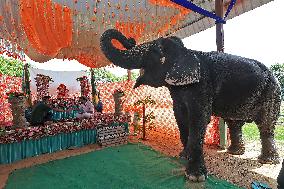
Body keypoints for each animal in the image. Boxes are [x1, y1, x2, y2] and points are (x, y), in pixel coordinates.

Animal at [100, 29, 282, 182]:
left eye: (155, 52)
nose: (130, 40)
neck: (187, 52)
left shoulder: (202, 85)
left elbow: (198, 119)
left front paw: (195, 176)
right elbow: (180, 117)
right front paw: (183, 156)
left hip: (272, 93)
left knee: (265, 125)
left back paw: (267, 161)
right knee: (234, 123)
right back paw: (235, 152)